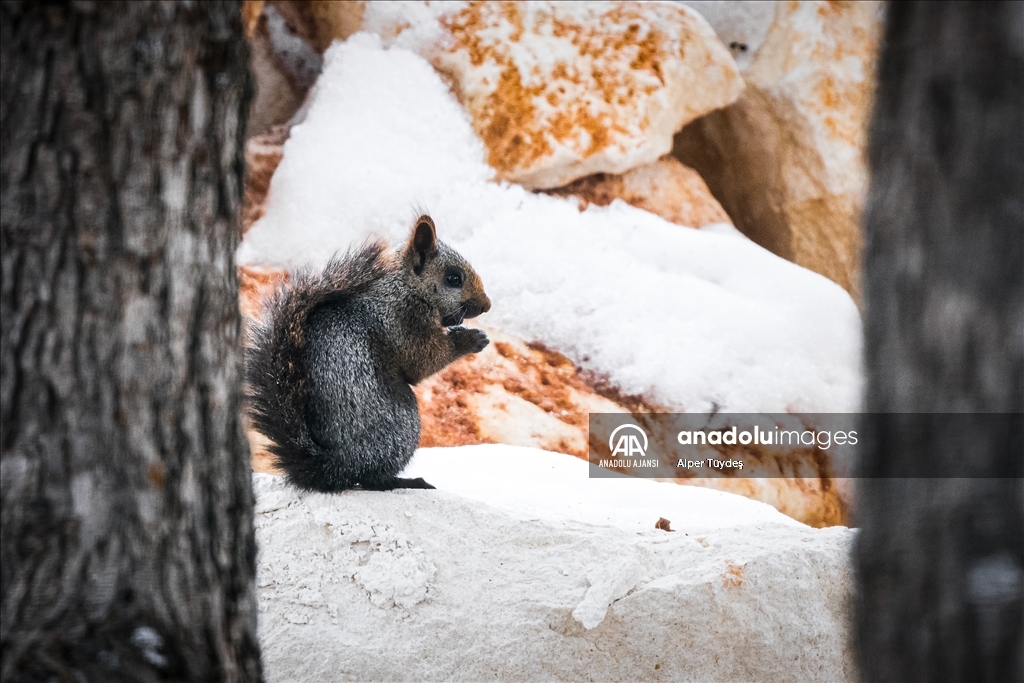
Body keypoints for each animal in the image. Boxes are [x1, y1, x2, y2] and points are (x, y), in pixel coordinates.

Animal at [245, 216, 489, 489]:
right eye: (453, 278)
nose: (487, 305)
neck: (405, 287)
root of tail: (336, 465)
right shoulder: (405, 323)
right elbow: (422, 362)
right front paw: (471, 339)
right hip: (403, 423)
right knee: (371, 478)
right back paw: (406, 481)